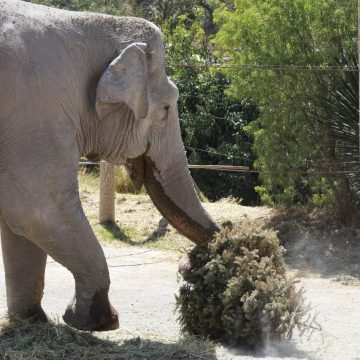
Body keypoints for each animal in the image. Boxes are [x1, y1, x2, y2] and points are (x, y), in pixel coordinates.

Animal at [0, 0, 219, 332]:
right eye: (166, 109)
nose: (188, 263)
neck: (84, 24)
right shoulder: (34, 112)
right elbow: (37, 210)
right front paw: (99, 321)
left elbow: (18, 226)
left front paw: (34, 321)